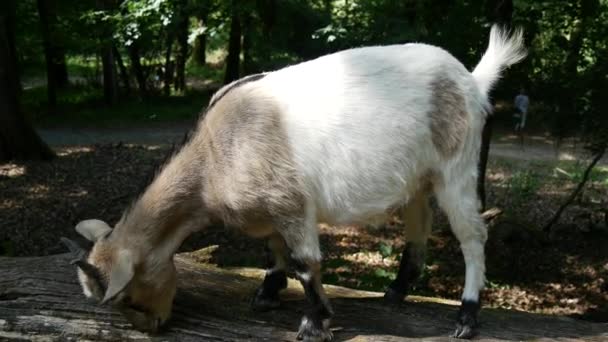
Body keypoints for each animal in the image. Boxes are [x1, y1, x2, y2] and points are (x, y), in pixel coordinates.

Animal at [63, 25, 528, 340]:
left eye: (126, 296)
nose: (155, 326)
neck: (214, 158)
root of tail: (471, 79)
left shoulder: (293, 205)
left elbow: (306, 263)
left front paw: (314, 321)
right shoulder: (267, 210)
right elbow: (272, 250)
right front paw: (268, 292)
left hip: (458, 164)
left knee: (472, 235)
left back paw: (466, 316)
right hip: (417, 176)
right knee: (419, 226)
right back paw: (396, 291)